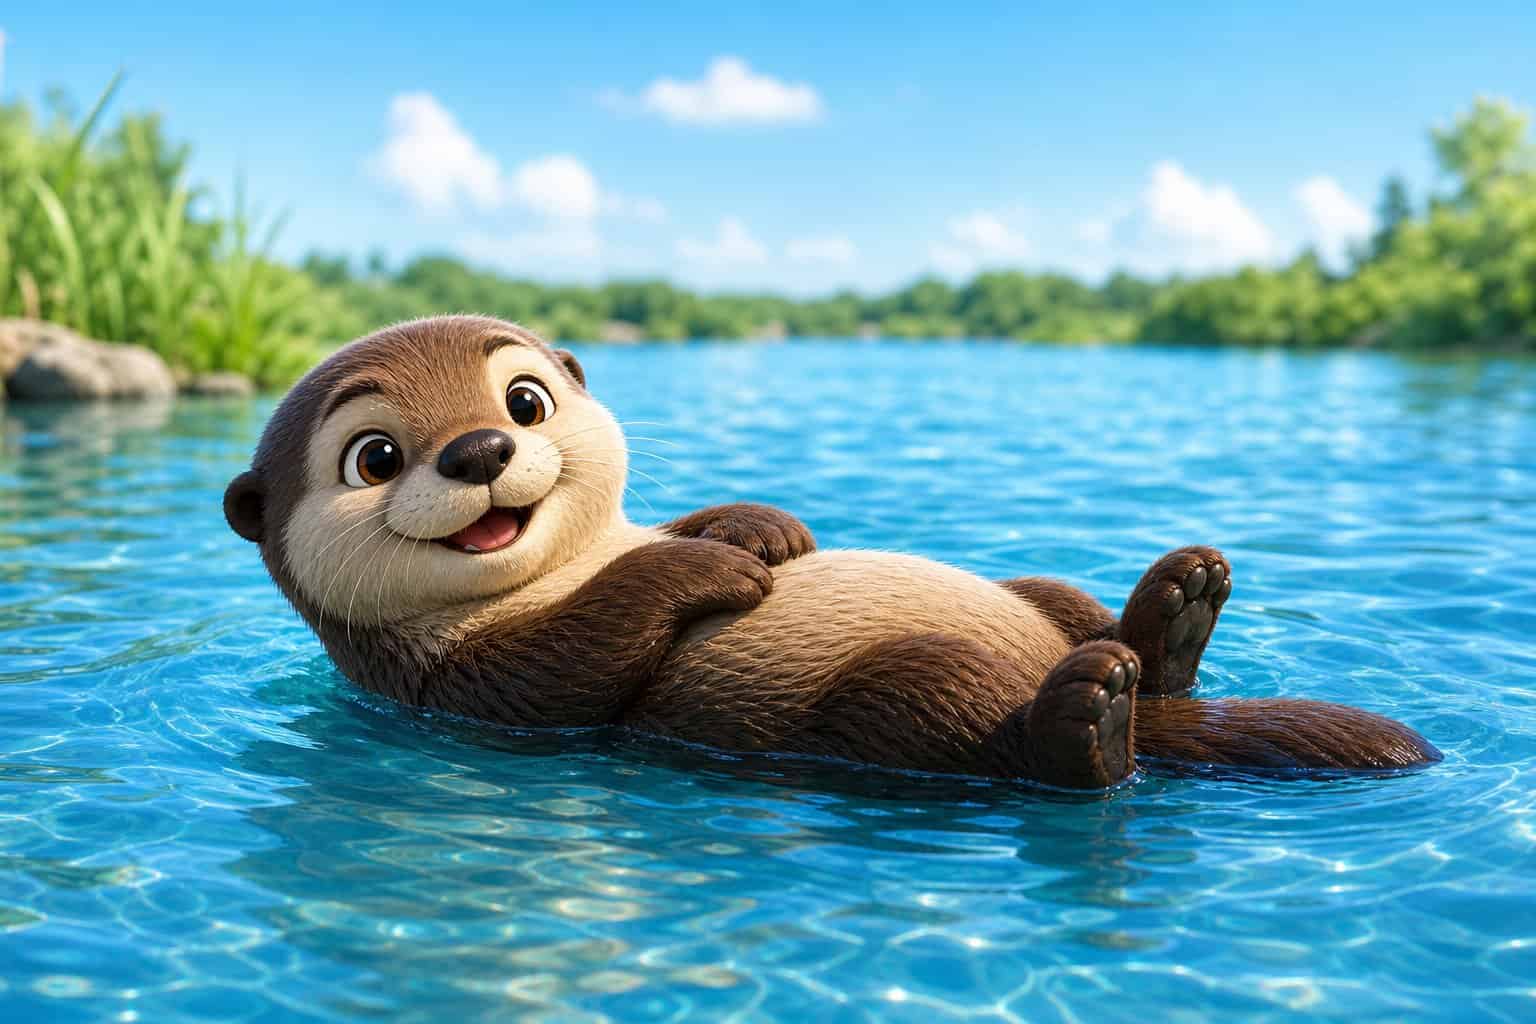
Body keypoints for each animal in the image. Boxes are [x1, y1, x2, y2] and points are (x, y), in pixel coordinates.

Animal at [224, 316, 1440, 789]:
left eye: (524, 400)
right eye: (377, 456)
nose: (478, 449)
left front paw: (761, 530)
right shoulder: (450, 685)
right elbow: (568, 664)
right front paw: (709, 571)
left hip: (1039, 595)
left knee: (1078, 609)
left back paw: (1178, 605)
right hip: (897, 696)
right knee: (1000, 737)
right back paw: (1089, 718)